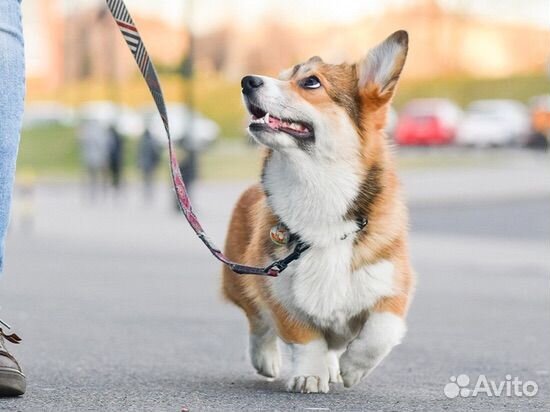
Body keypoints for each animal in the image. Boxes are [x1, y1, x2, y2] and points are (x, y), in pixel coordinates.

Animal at [222, 29, 416, 392]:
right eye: (282, 76)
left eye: (311, 82)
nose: (247, 81)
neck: (318, 188)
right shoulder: (277, 288)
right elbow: (305, 338)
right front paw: (309, 375)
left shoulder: (393, 286)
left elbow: (380, 332)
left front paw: (353, 368)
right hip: (239, 279)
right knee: (258, 322)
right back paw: (267, 359)